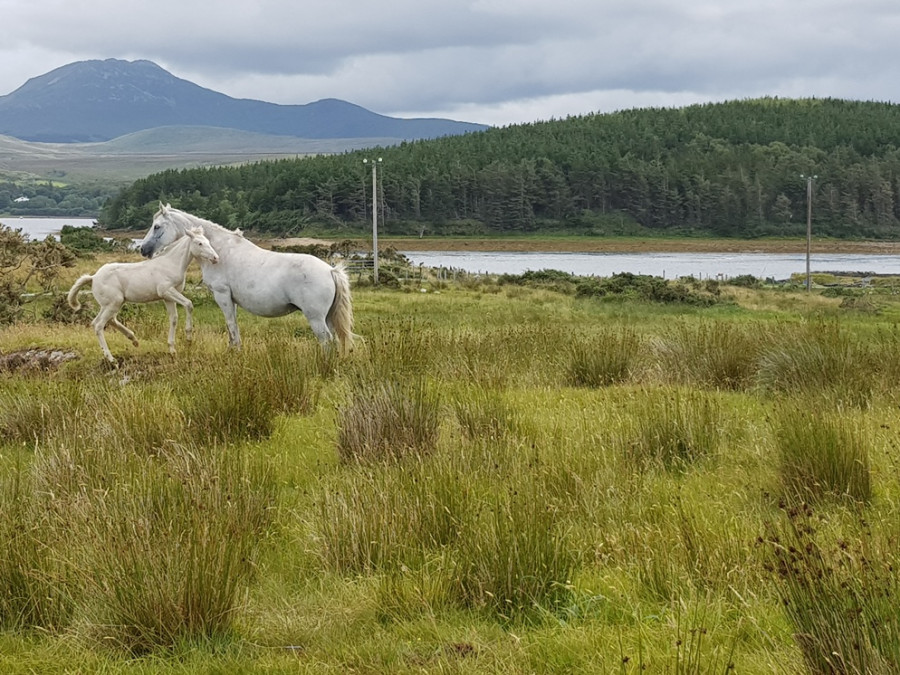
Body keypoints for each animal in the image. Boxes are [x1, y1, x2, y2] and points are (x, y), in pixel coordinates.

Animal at [67, 227, 220, 364]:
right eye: (199, 243)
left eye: (207, 241)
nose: (215, 258)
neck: (171, 264)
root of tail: (93, 277)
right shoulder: (166, 291)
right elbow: (189, 304)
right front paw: (188, 337)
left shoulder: (168, 297)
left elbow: (174, 319)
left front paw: (172, 349)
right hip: (113, 303)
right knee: (99, 325)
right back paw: (111, 358)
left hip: (112, 304)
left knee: (106, 320)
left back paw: (134, 340)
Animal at [137, 203, 356, 354]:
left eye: (157, 226)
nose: (143, 249)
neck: (220, 251)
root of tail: (330, 271)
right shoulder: (231, 299)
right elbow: (232, 326)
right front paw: (233, 350)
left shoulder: (222, 296)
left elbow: (231, 325)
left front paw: (235, 352)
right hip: (327, 317)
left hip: (316, 318)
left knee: (326, 340)